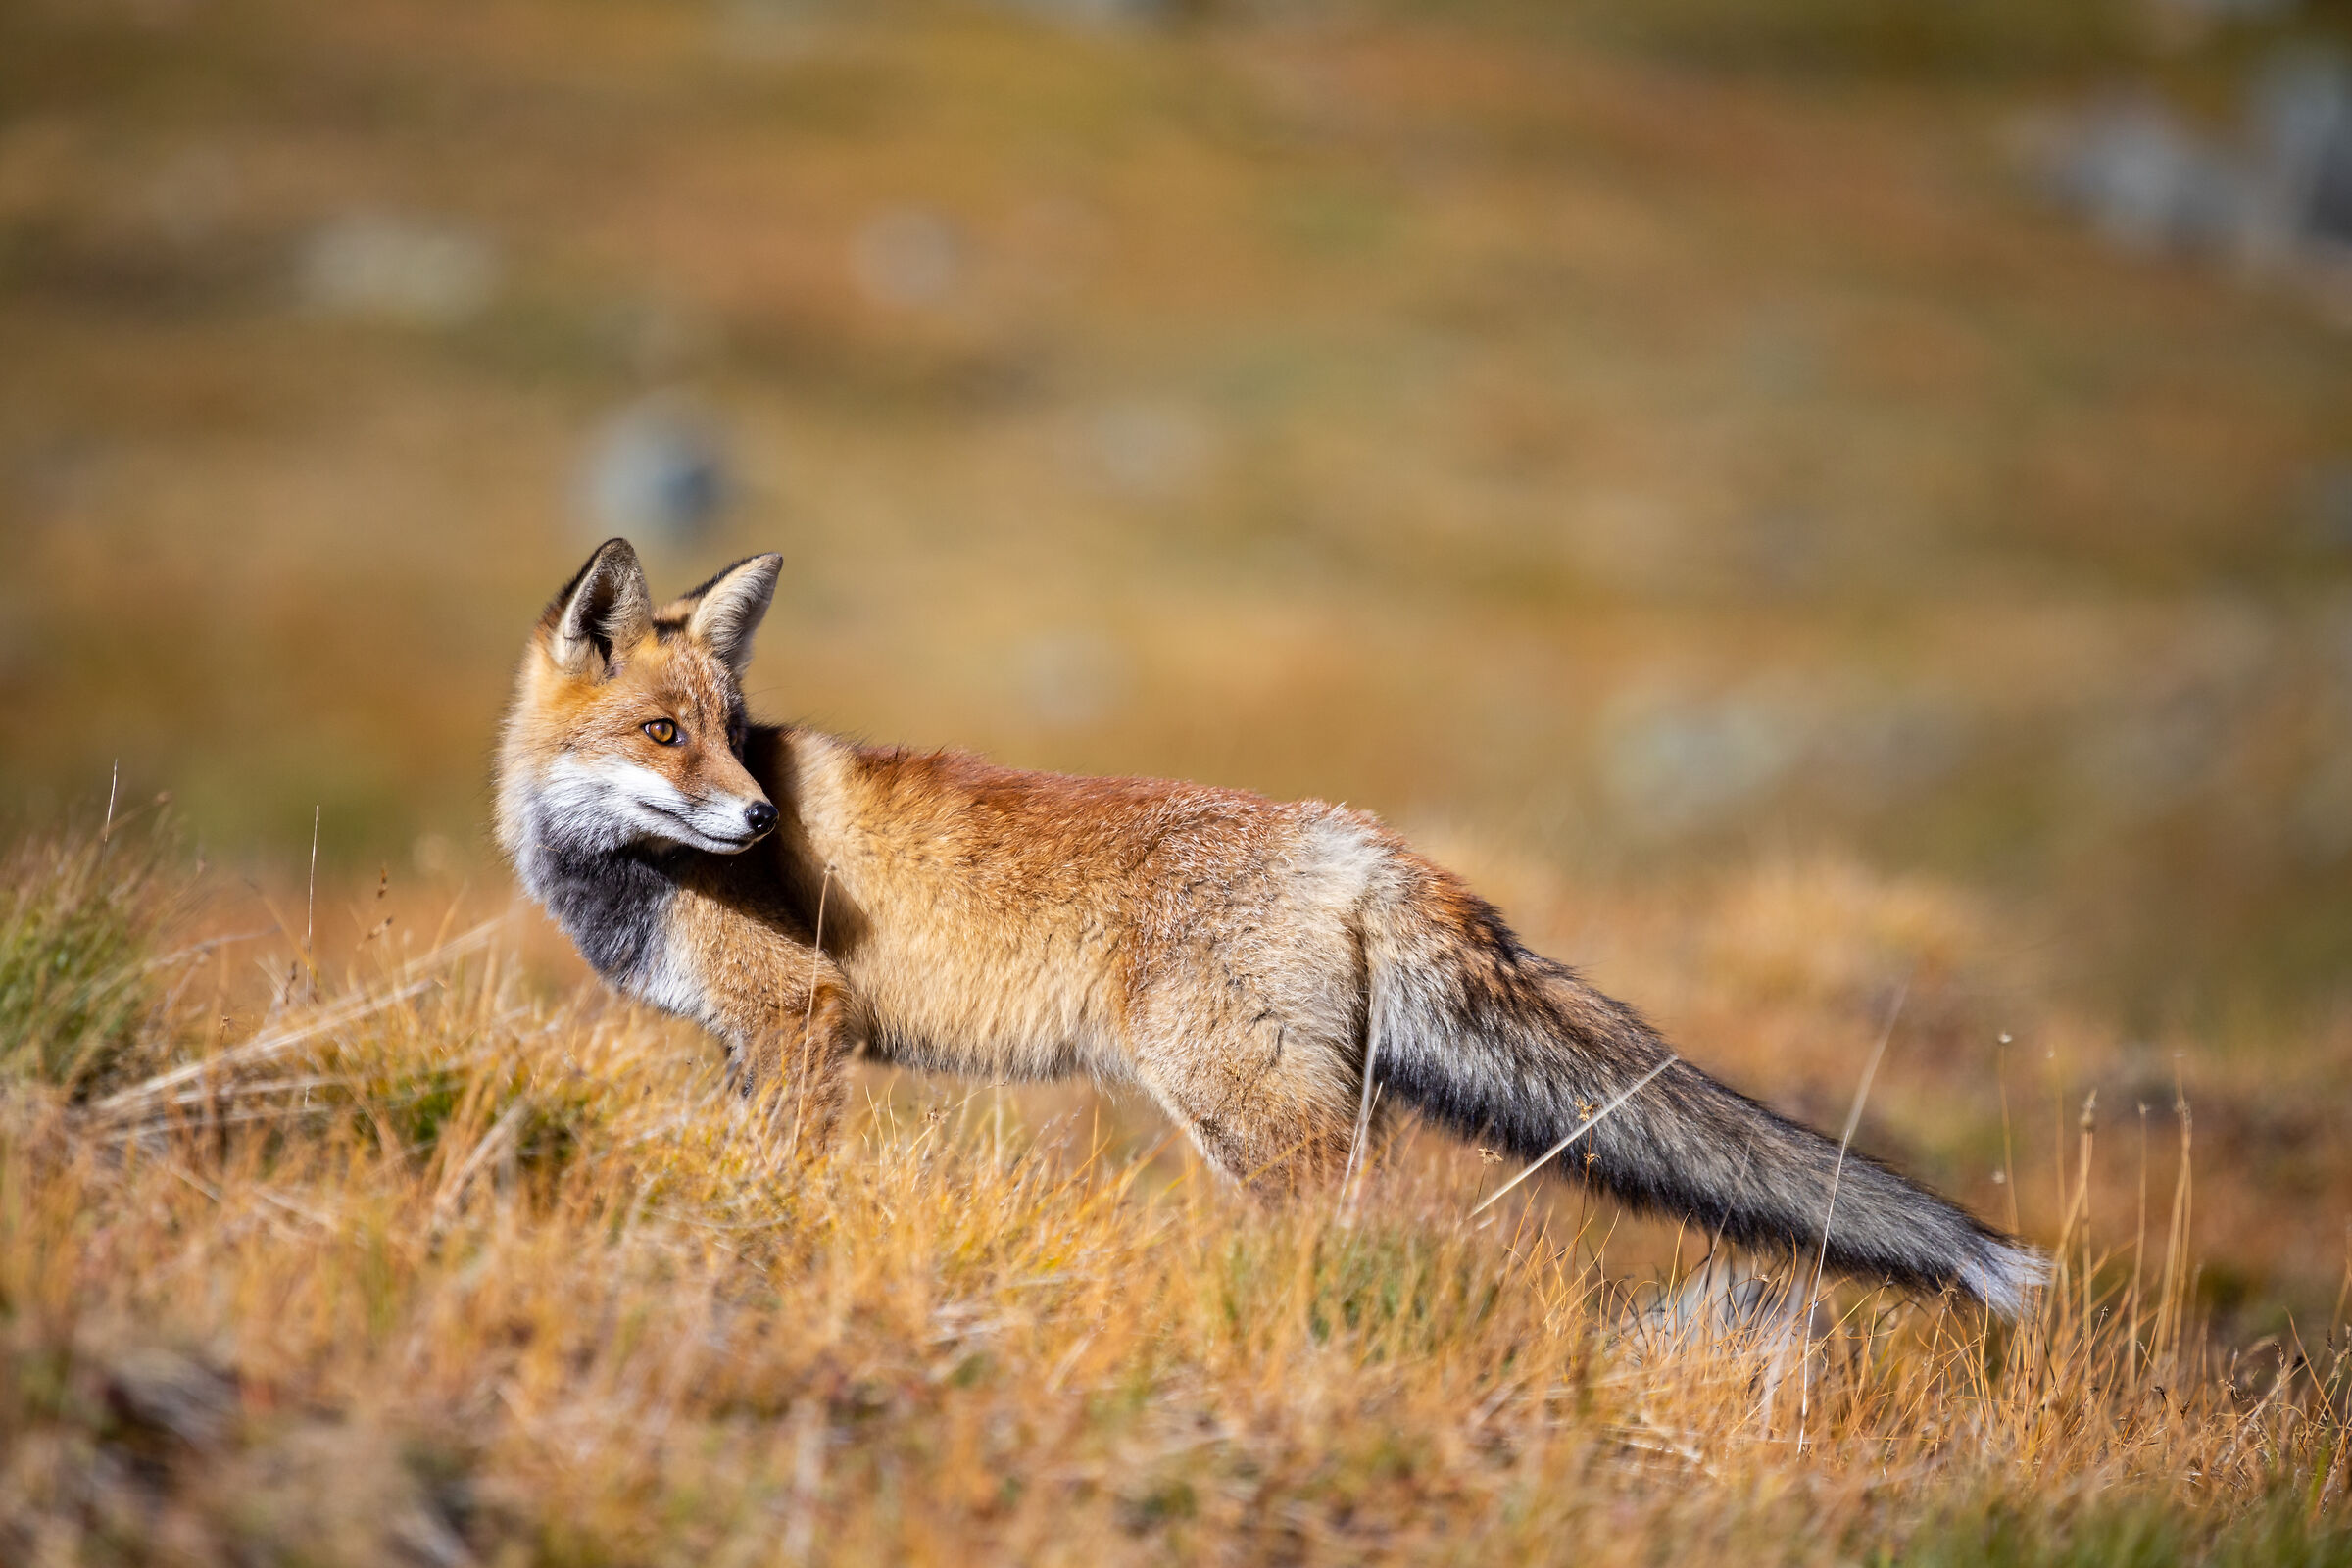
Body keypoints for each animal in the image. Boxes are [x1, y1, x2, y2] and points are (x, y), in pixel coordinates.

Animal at [496, 538, 2044, 1314]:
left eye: (727, 737)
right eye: (666, 734)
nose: (763, 824)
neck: (628, 876)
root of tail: (1354, 835)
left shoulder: (801, 1025)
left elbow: (787, 1178)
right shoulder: (753, 1045)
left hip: (1240, 1109)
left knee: (1347, 1230)